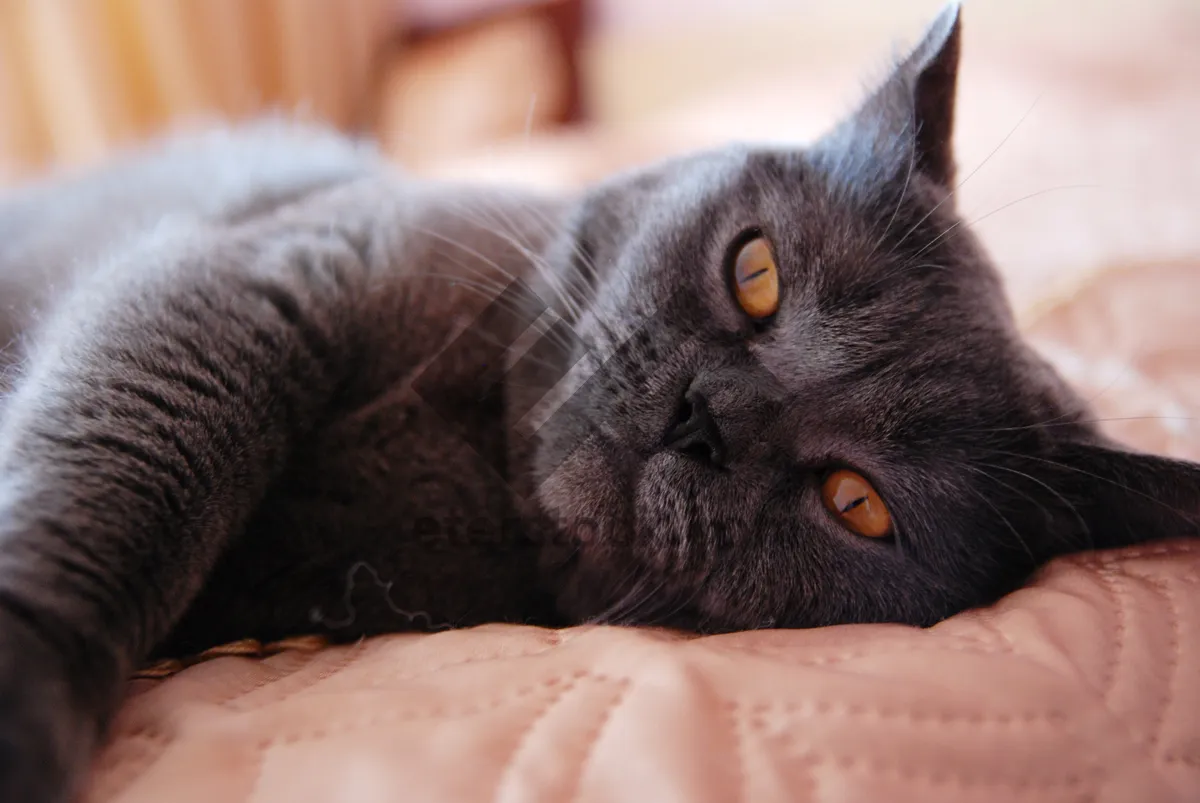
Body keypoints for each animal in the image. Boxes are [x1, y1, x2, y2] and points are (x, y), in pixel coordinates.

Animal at [2, 6, 1200, 801]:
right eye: (756, 273)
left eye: (856, 501)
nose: (706, 415)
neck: (464, 452)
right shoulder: (260, 272)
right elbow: (134, 470)